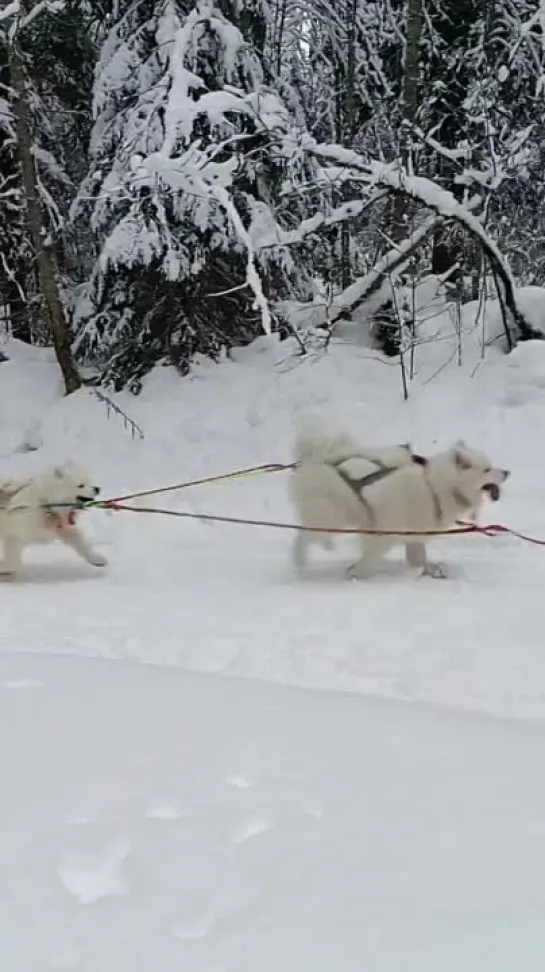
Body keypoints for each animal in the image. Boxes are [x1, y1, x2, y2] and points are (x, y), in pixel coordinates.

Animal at [292, 428, 508, 576]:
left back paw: (324, 548)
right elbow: (372, 556)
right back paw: (300, 563)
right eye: (487, 469)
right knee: (302, 537)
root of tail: (317, 458)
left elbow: (418, 557)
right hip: (332, 515)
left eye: (492, 466)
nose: (508, 472)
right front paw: (357, 572)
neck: (435, 486)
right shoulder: (384, 530)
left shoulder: (414, 532)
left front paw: (431, 570)